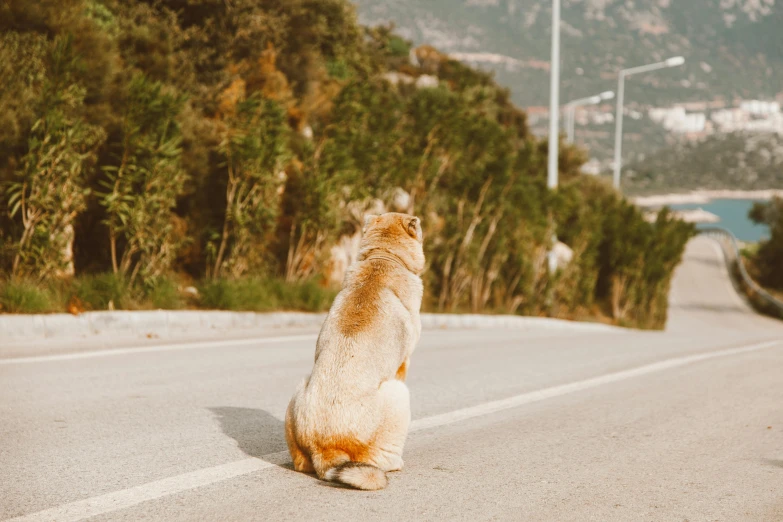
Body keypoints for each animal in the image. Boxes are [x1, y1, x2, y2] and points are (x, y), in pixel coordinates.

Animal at [284, 210, 426, 488]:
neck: (384, 257)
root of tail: (326, 452)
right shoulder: (404, 364)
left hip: (298, 388)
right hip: (399, 394)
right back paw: (396, 463)